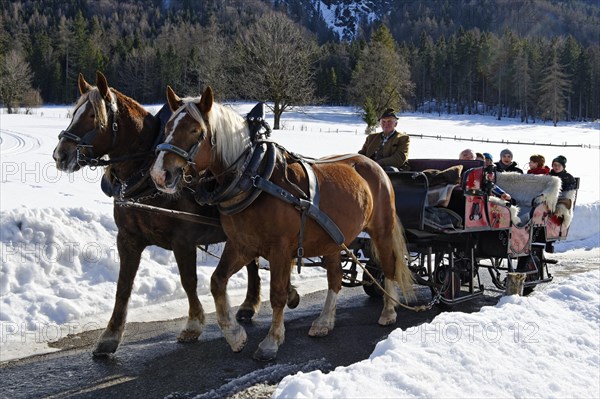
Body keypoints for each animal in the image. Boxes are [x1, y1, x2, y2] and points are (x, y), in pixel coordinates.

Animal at [53, 72, 262, 356]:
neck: (145, 175)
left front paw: (193, 324)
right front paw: (110, 335)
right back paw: (251, 304)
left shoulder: (183, 240)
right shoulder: (128, 239)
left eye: (94, 116)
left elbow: (188, 281)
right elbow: (123, 287)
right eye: (73, 113)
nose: (60, 155)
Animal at [151, 87, 412, 362]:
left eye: (195, 130)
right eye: (167, 126)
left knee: (389, 266)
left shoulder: (280, 248)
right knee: (335, 278)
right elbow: (217, 281)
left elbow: (277, 294)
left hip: (381, 230)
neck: (254, 177)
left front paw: (271, 341)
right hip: (333, 239)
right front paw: (235, 334)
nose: (160, 175)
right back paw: (324, 322)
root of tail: (374, 166)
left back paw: (388, 311)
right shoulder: (241, 244)